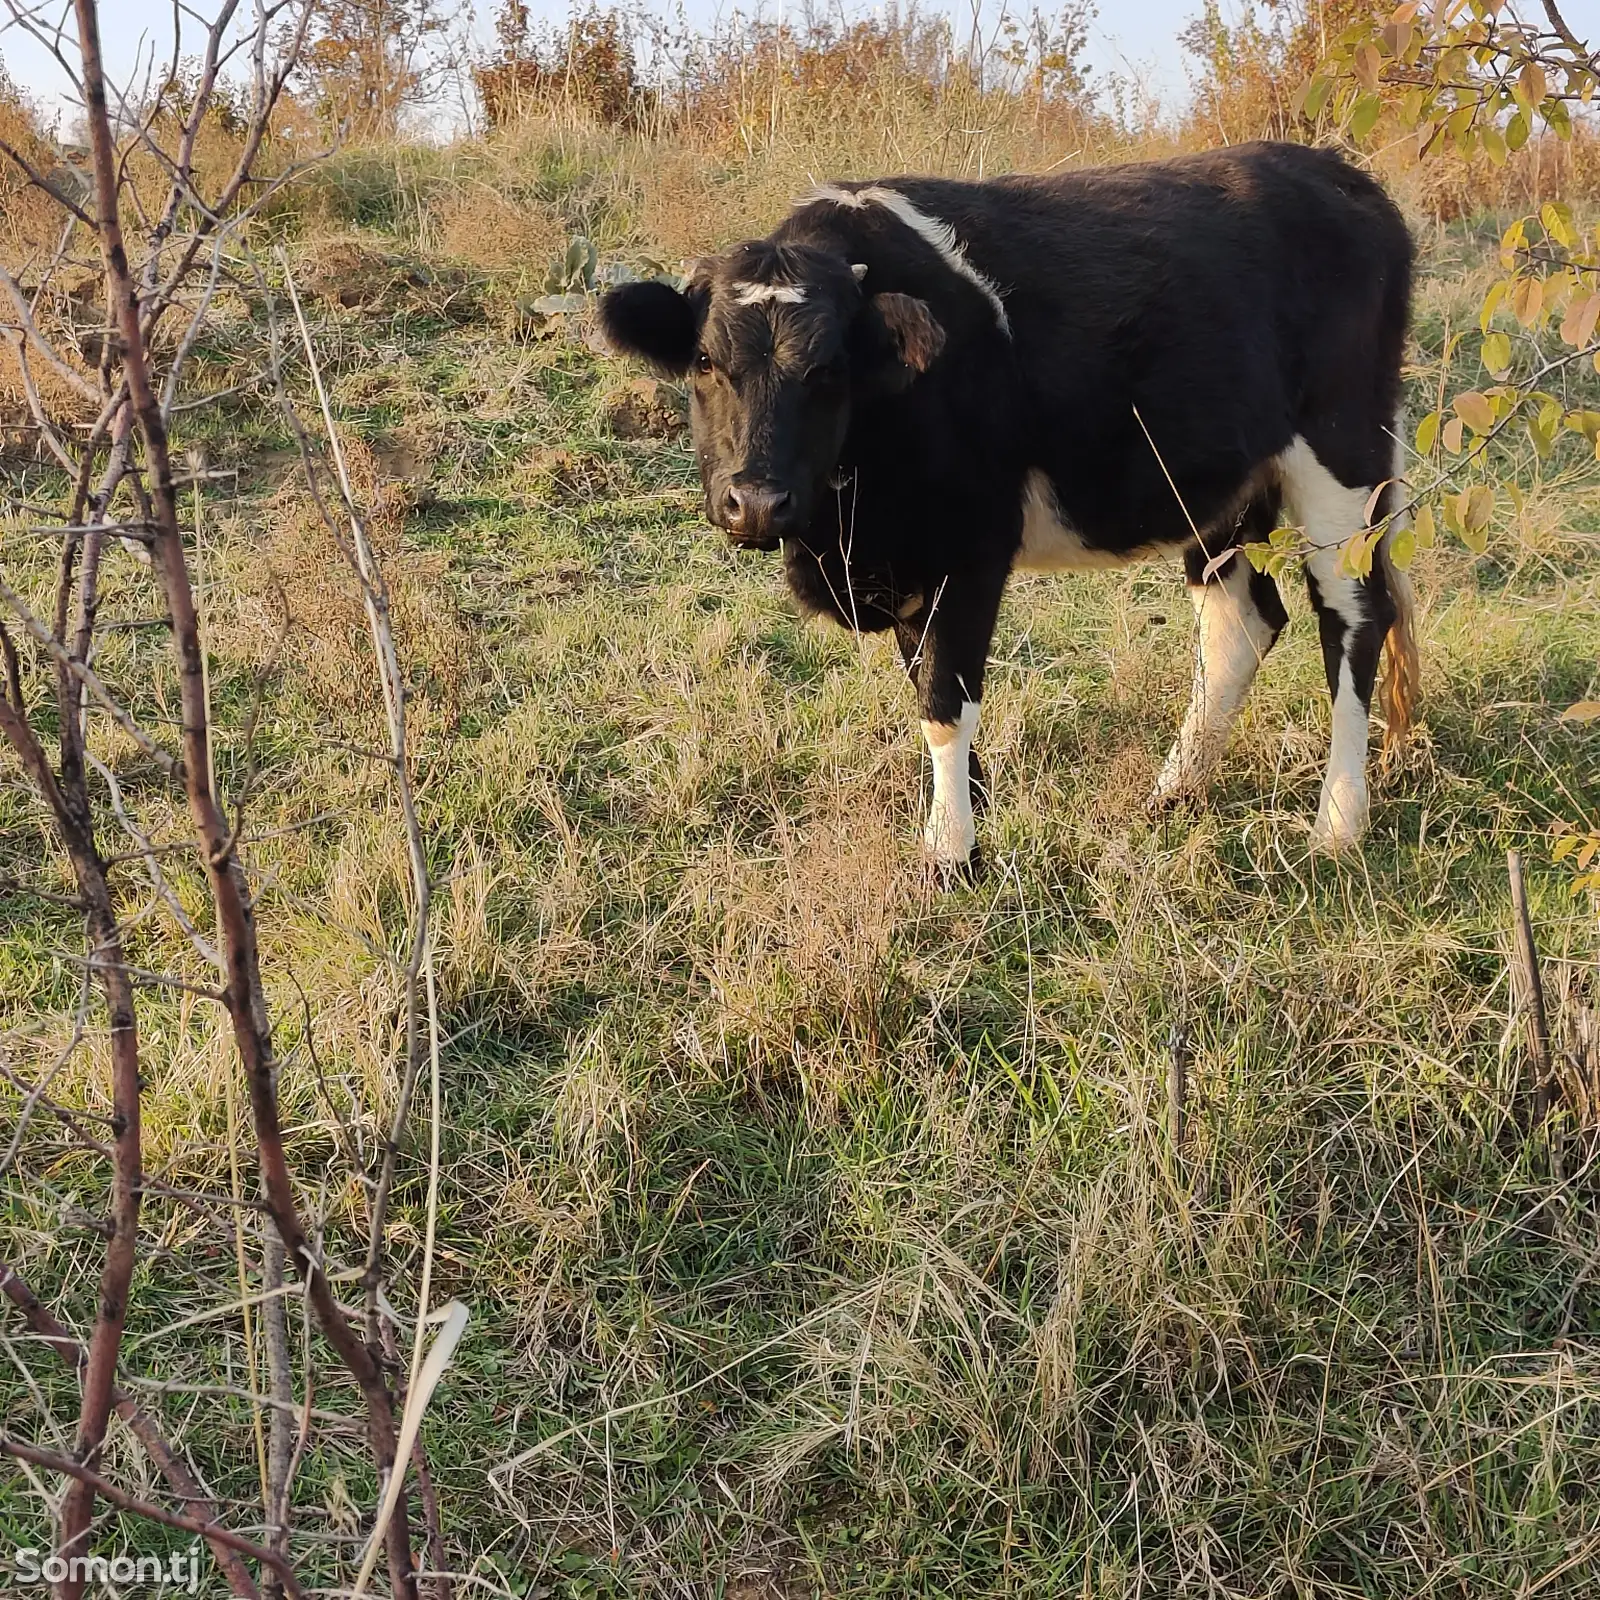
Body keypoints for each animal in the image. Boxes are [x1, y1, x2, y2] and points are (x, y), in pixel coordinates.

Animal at [598, 140, 1414, 876]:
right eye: (706, 362)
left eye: (829, 369)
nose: (756, 502)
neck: (850, 533)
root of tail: (1338, 174)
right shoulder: (910, 562)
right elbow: (925, 679)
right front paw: (970, 809)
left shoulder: (970, 549)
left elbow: (944, 700)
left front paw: (949, 852)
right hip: (1219, 491)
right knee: (1240, 623)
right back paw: (1176, 789)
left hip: (1343, 458)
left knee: (1352, 621)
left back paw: (1338, 821)